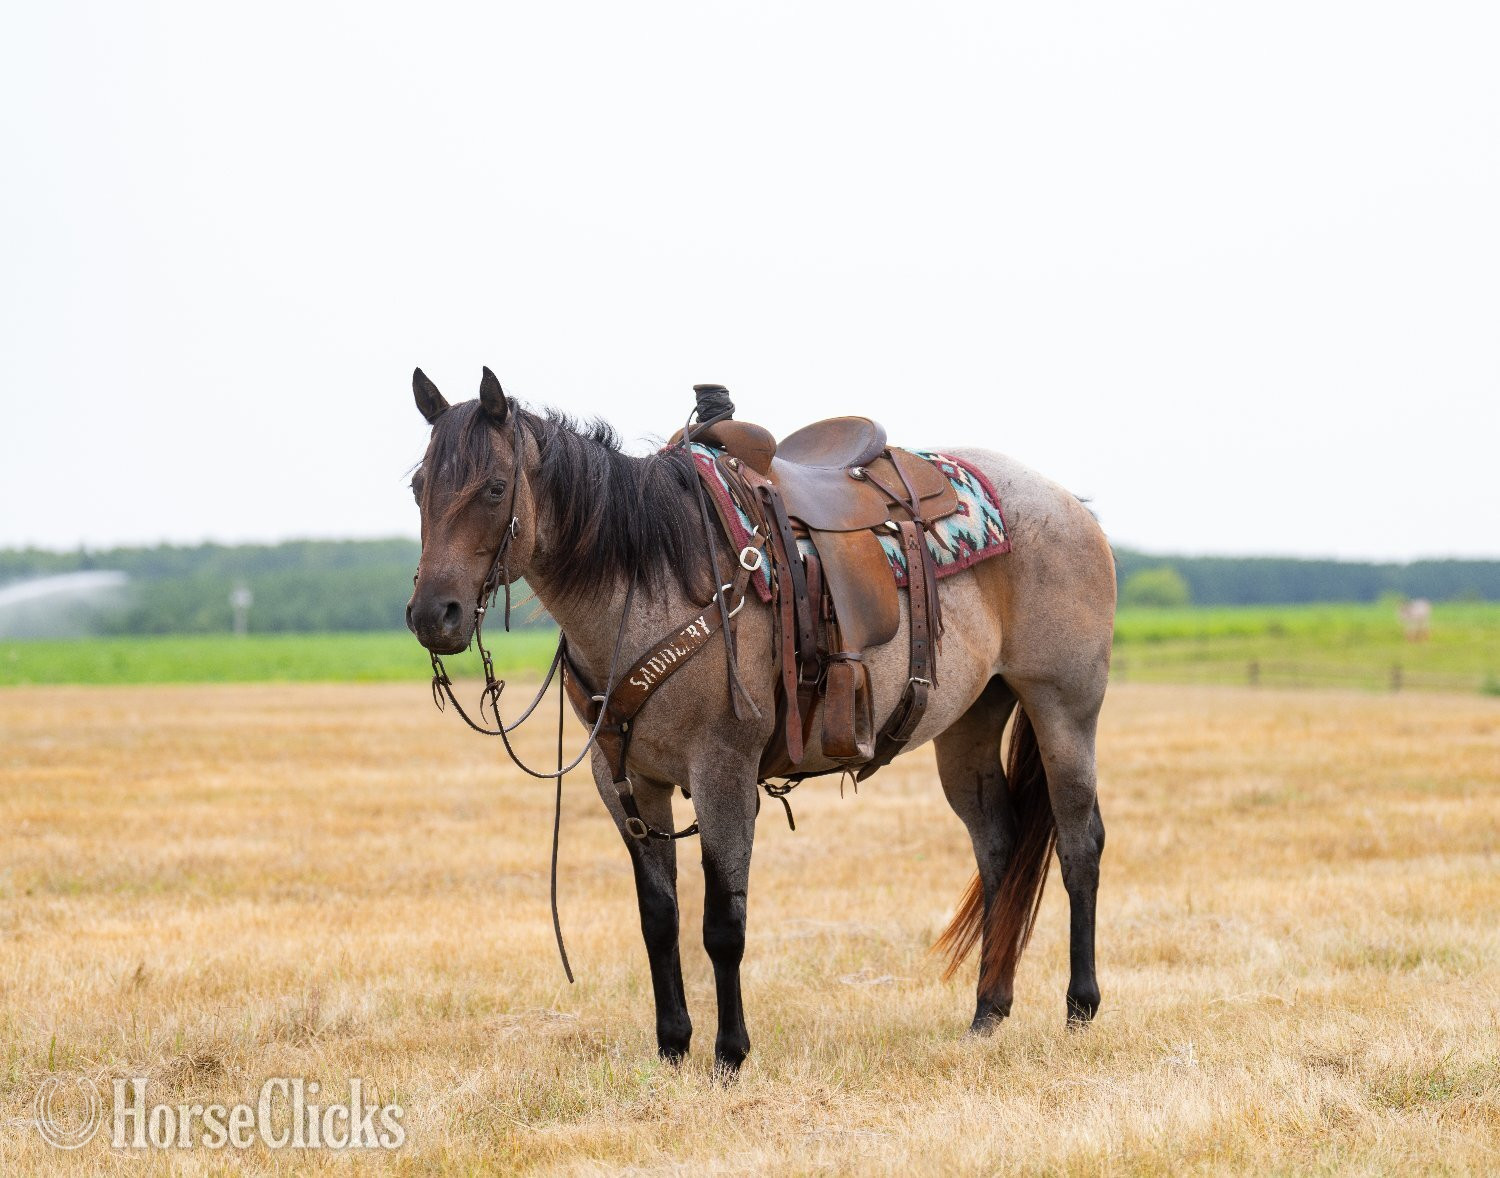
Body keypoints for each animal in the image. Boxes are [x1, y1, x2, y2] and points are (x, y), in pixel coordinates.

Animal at [405, 369, 1116, 1075]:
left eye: (495, 488)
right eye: (417, 487)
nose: (433, 614)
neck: (653, 579)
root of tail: (1074, 506)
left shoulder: (723, 771)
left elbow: (723, 924)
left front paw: (729, 1054)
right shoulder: (624, 780)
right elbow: (658, 918)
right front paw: (672, 1046)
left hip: (1064, 708)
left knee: (1079, 843)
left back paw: (1081, 1007)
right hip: (969, 723)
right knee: (997, 848)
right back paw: (987, 1012)